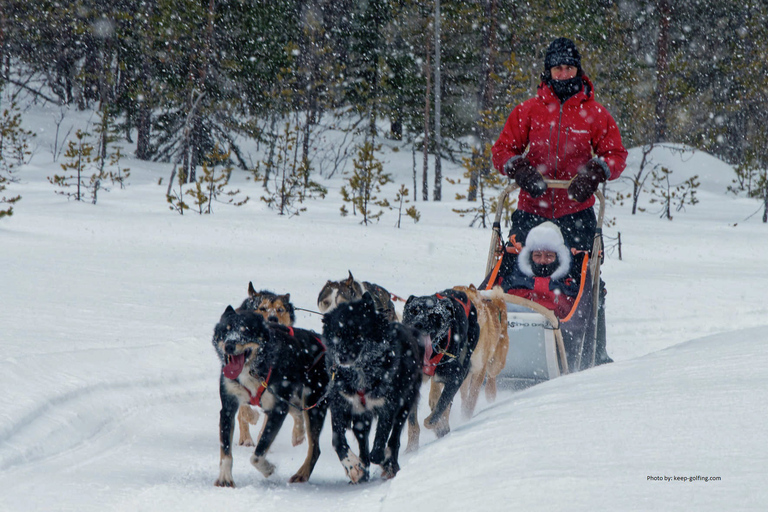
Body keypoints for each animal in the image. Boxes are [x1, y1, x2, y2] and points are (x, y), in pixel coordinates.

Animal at [212, 306, 328, 486]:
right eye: (226, 330)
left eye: (246, 331)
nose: (229, 345)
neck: (253, 370)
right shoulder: (228, 407)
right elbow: (225, 449)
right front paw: (225, 477)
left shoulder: (277, 409)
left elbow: (258, 454)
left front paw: (268, 469)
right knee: (297, 411)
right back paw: (298, 434)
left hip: (314, 404)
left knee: (315, 448)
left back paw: (302, 474)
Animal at [320, 294, 424, 482]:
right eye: (337, 334)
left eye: (358, 333)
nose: (341, 357)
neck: (361, 371)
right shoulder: (341, 404)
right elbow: (338, 440)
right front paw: (353, 466)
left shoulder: (387, 405)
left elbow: (380, 441)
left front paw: (384, 459)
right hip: (361, 419)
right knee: (363, 443)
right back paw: (363, 470)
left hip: (405, 405)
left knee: (394, 437)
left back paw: (390, 462)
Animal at [404, 288, 476, 448]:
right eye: (413, 311)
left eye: (433, 315)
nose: (418, 324)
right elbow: (412, 423)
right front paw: (411, 449)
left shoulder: (456, 377)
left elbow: (440, 407)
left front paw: (438, 425)